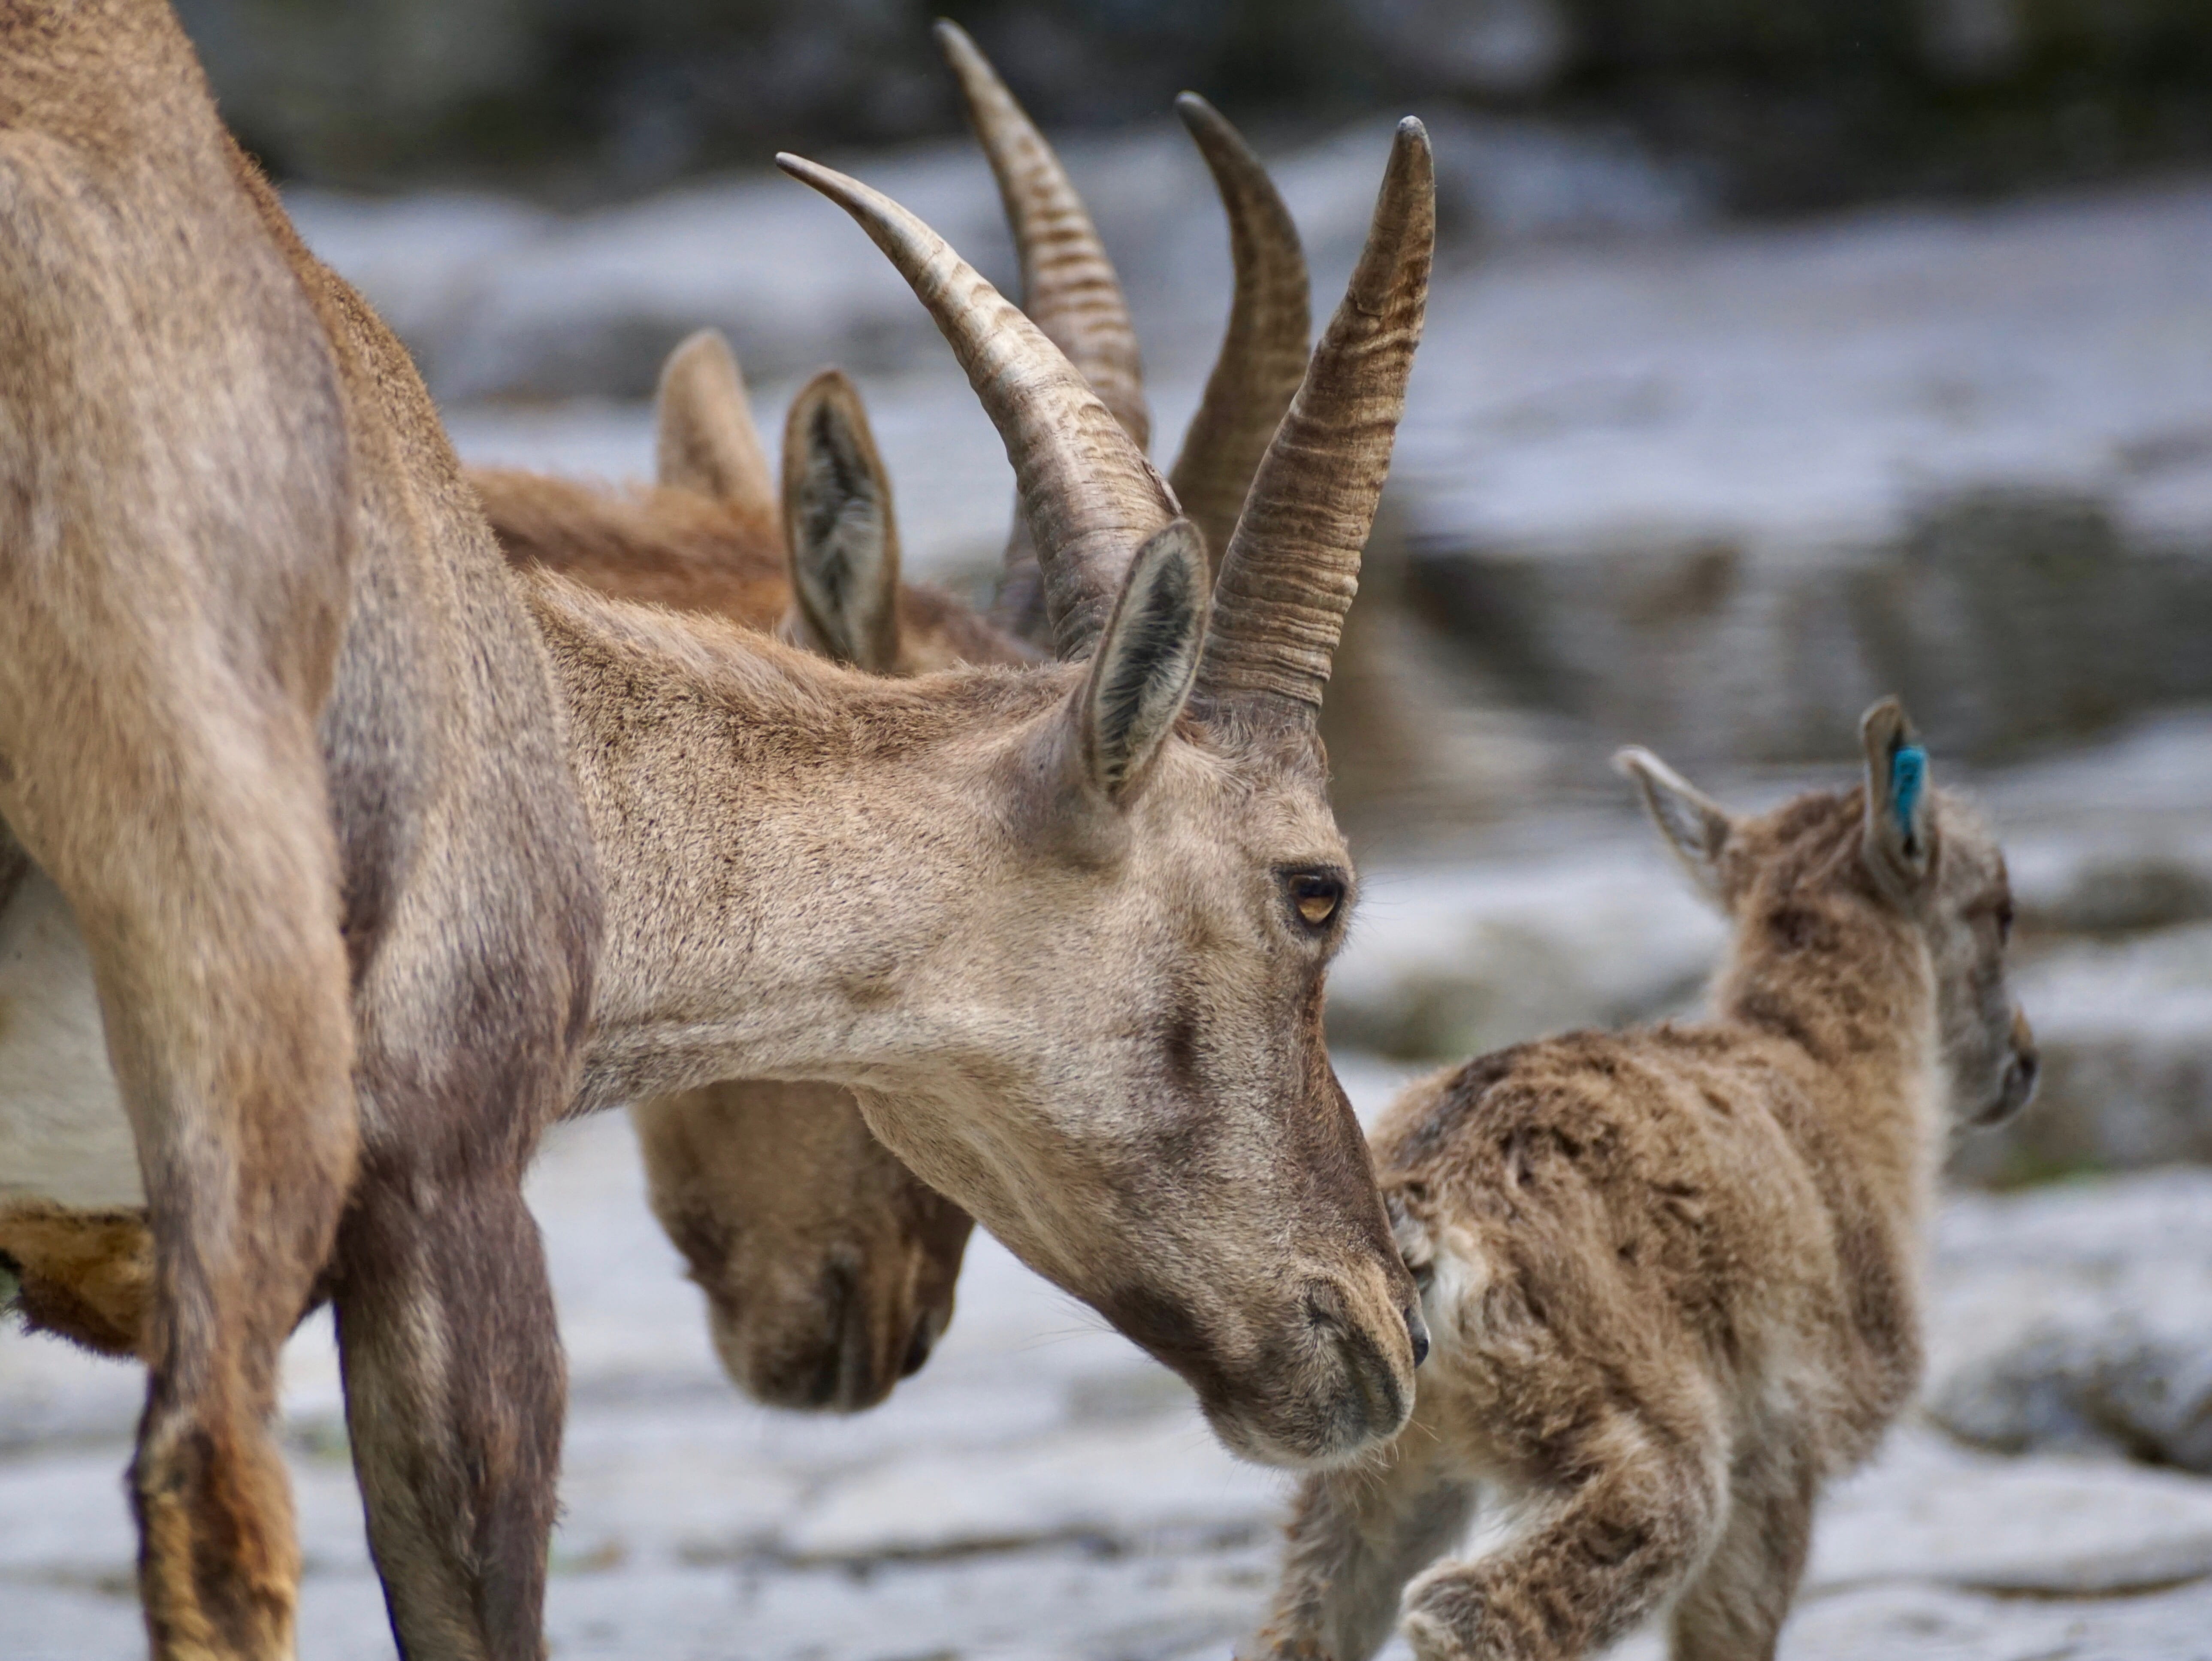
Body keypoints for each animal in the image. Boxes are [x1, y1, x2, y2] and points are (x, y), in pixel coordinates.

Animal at [1242, 700, 2040, 1661]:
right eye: (2000, 910)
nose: (2024, 1063)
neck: (1834, 1084)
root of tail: (1418, 1217)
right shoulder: (1781, 1449)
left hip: (1380, 1455)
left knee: (1302, 1622)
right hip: (1626, 1416)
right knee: (1473, 1604)